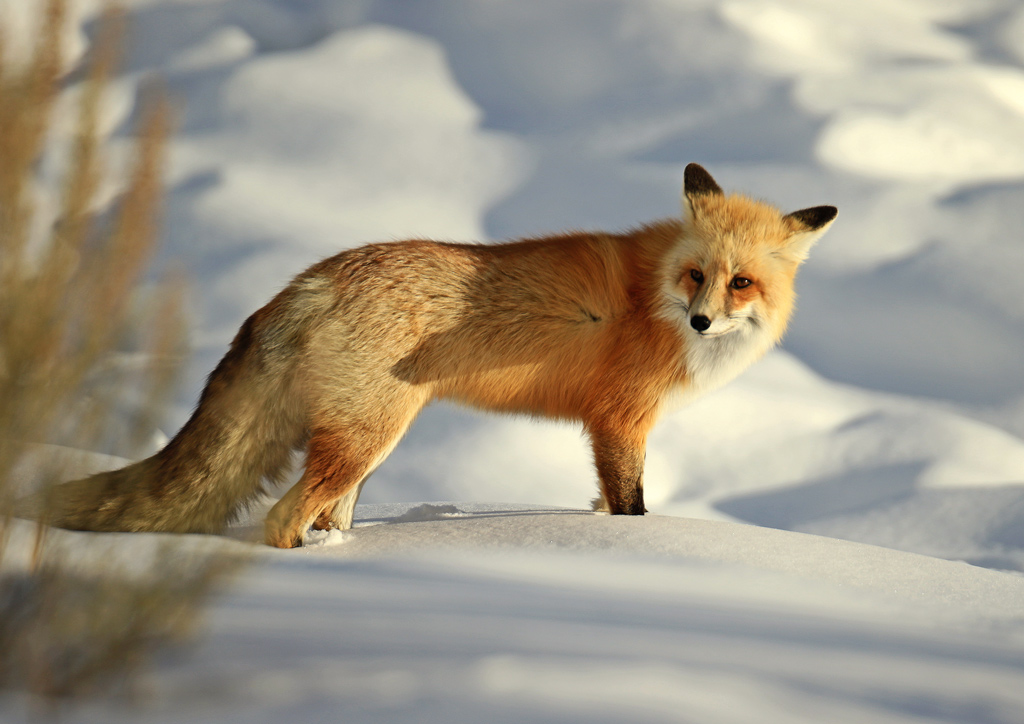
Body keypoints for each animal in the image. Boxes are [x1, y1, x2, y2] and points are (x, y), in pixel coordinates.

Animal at [28, 165, 835, 548]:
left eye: (740, 283)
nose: (701, 321)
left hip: (363, 448)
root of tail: (312, 278)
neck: (652, 299)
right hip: (367, 438)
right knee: (283, 517)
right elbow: (632, 509)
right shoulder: (620, 421)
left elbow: (605, 505)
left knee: (326, 515)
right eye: (698, 275)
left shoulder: (612, 430)